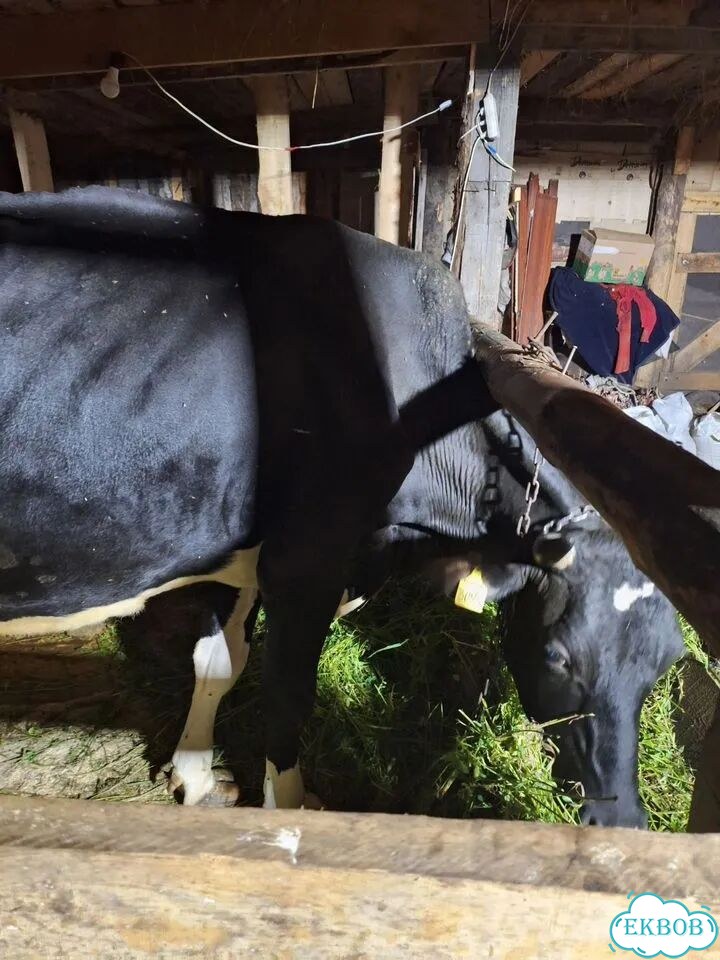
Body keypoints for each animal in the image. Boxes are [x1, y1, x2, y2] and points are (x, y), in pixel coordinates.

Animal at [0, 187, 684, 826]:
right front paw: (289, 811)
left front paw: (193, 779)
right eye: (558, 656)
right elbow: (285, 700)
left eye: (664, 668)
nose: (621, 818)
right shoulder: (306, 562)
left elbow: (219, 660)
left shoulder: (254, 552)